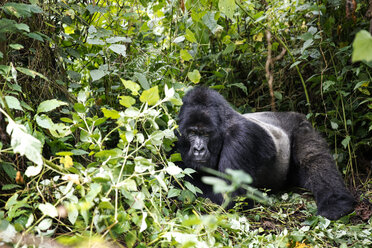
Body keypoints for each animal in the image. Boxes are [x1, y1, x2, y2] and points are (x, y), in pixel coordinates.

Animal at [177, 86, 354, 220]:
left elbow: (231, 199)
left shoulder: (241, 137)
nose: (198, 149)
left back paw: (335, 204)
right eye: (192, 133)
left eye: (206, 134)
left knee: (314, 159)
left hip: (301, 125)